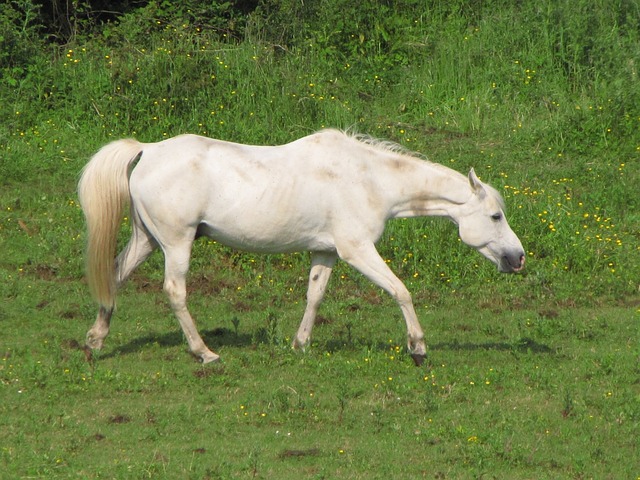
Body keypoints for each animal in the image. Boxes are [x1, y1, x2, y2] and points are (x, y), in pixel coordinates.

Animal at [77, 129, 524, 366]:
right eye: (495, 216)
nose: (517, 258)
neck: (369, 179)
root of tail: (148, 150)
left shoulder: (326, 252)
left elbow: (315, 295)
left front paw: (300, 344)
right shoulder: (356, 250)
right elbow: (401, 291)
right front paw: (417, 347)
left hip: (146, 240)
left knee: (114, 276)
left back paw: (95, 341)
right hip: (176, 243)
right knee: (174, 291)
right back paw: (204, 352)